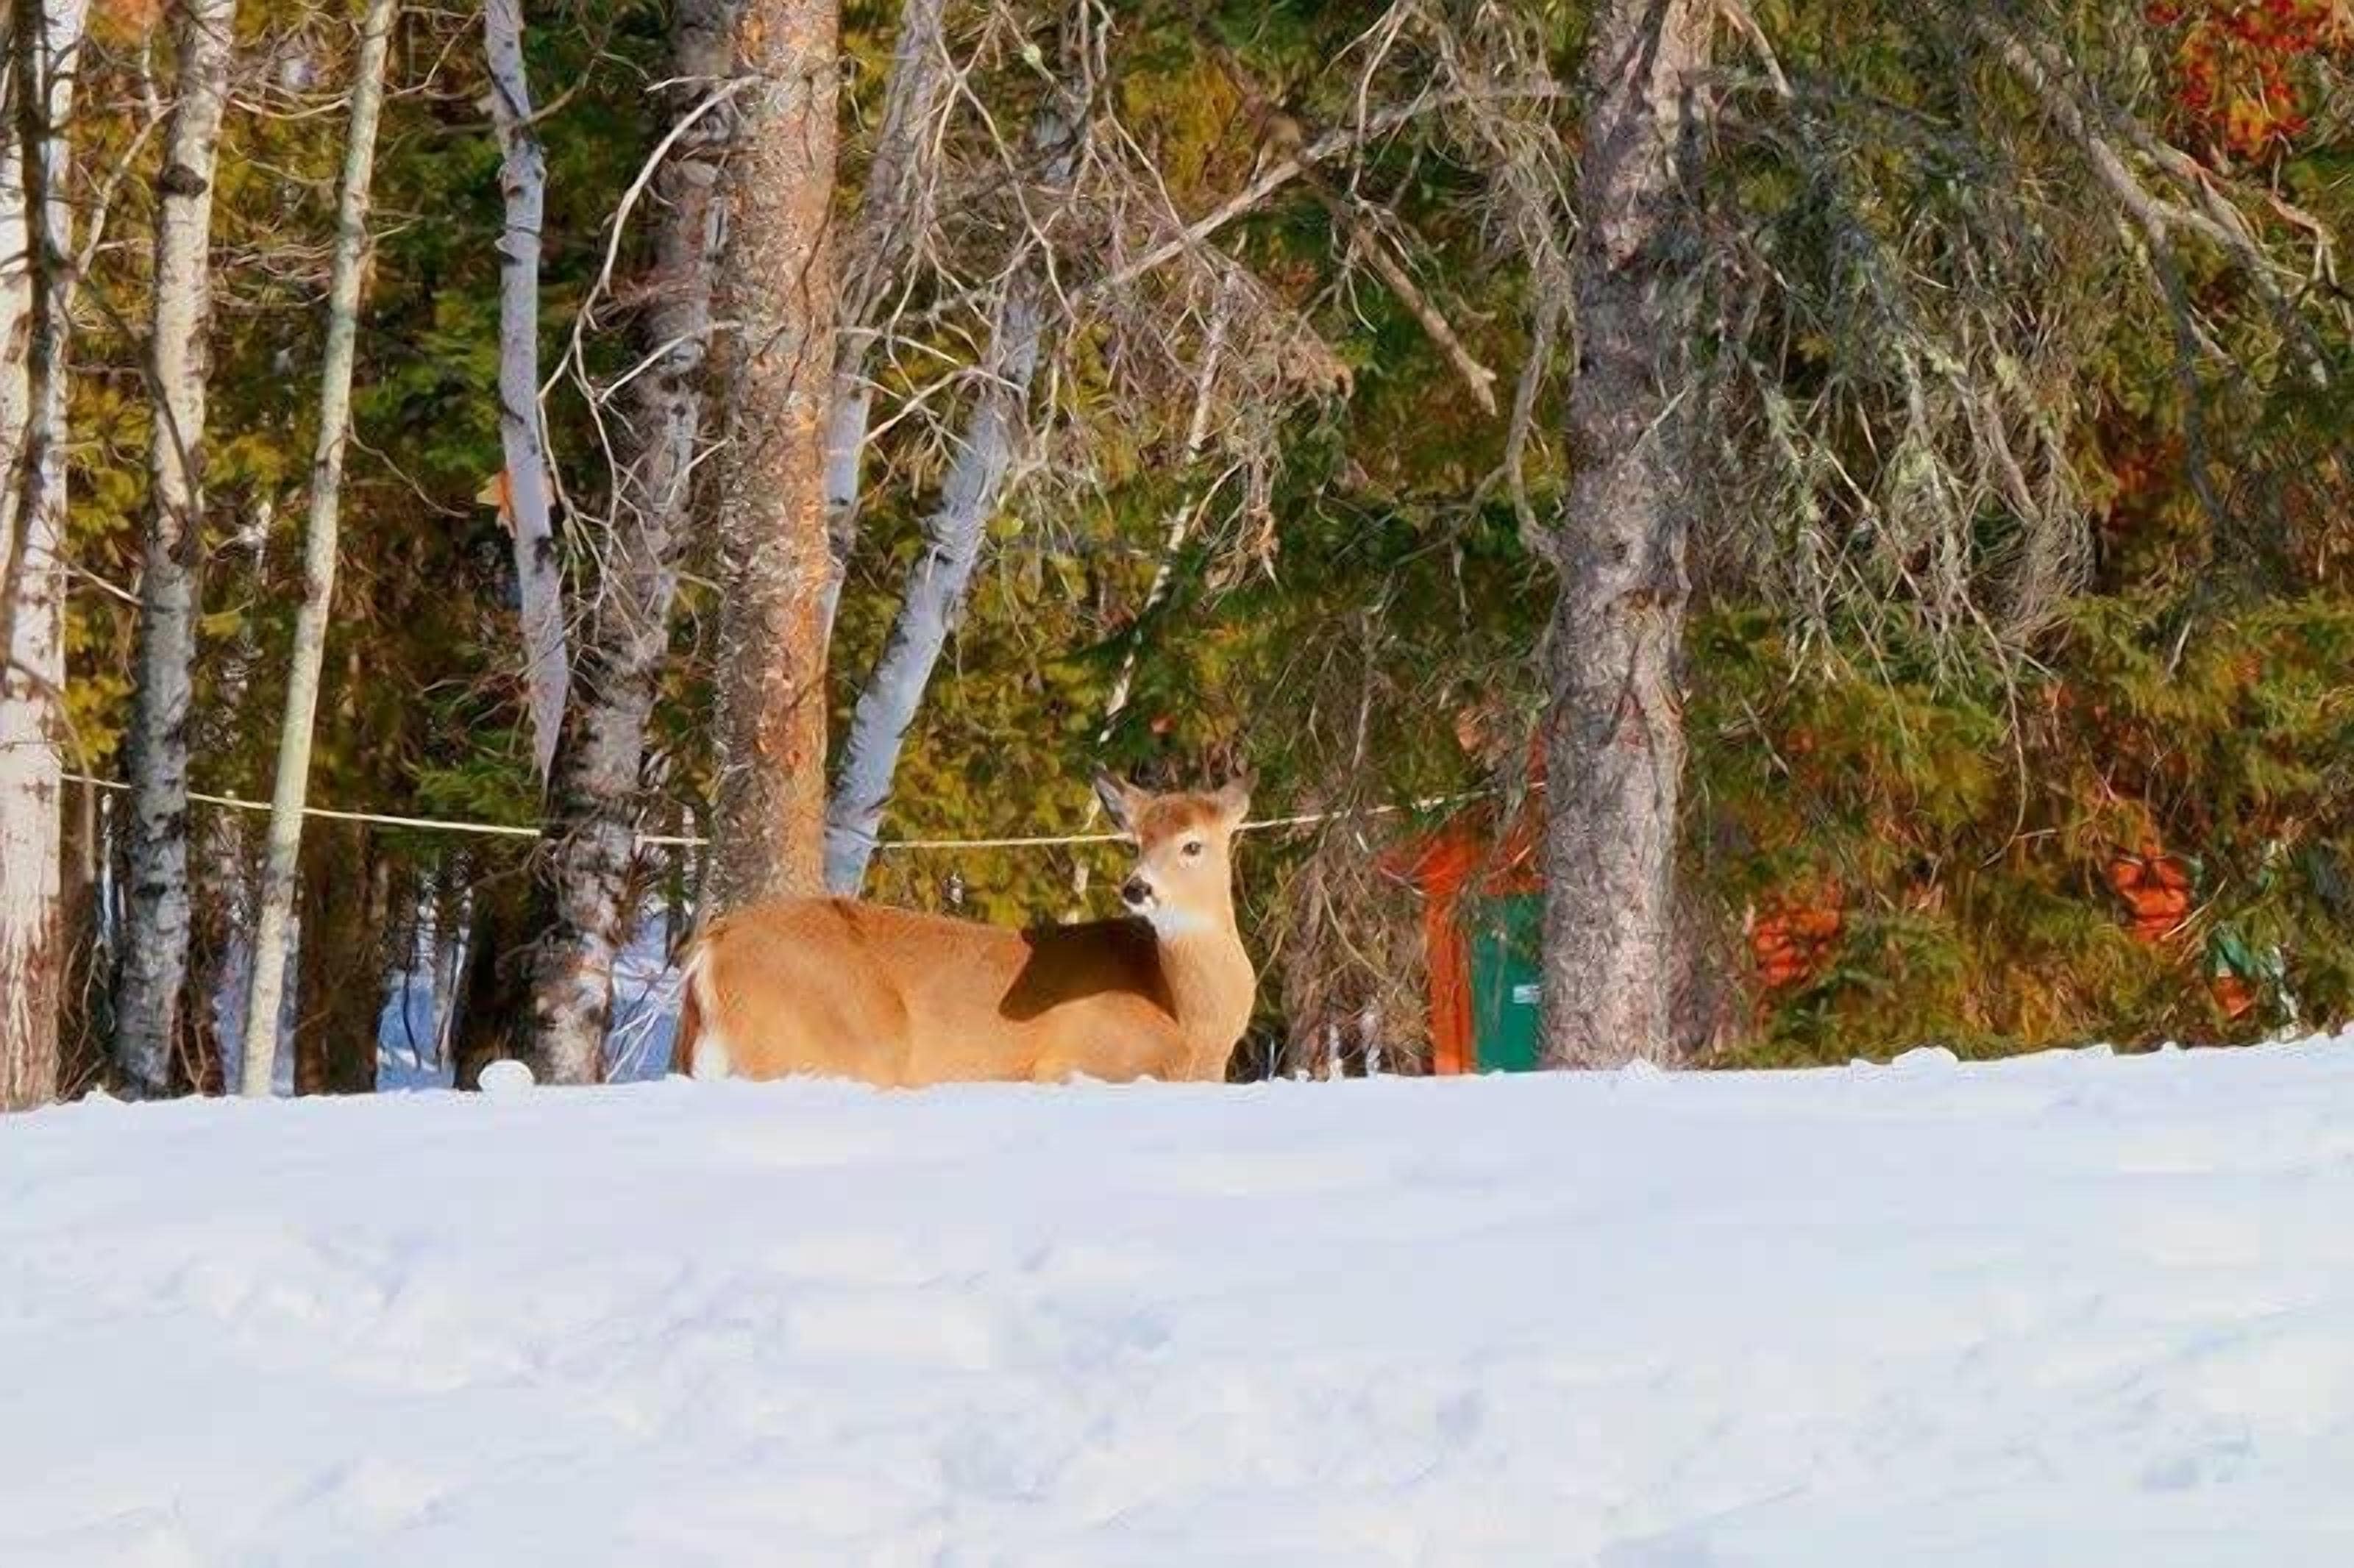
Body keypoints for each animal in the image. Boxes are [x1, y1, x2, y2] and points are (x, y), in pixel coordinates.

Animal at [672, 774, 1257, 1088]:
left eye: (1193, 844)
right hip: (842, 1038)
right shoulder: (1083, 1059)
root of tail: (713, 947)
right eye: (1135, 842)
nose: (1137, 888)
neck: (1193, 1023)